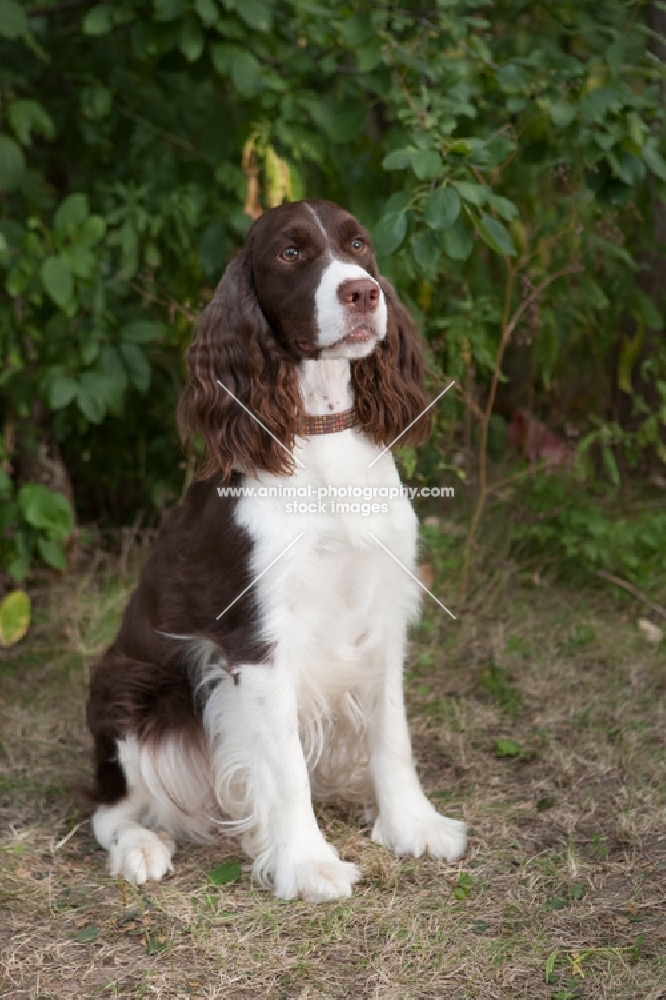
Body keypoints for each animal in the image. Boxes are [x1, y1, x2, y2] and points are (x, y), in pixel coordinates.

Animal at [85, 195, 464, 900]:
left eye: (359, 244)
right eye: (290, 253)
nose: (362, 292)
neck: (317, 430)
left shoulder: (381, 611)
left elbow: (392, 731)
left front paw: (413, 825)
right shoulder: (253, 638)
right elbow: (284, 764)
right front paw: (308, 864)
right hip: (128, 685)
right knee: (109, 808)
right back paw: (142, 848)